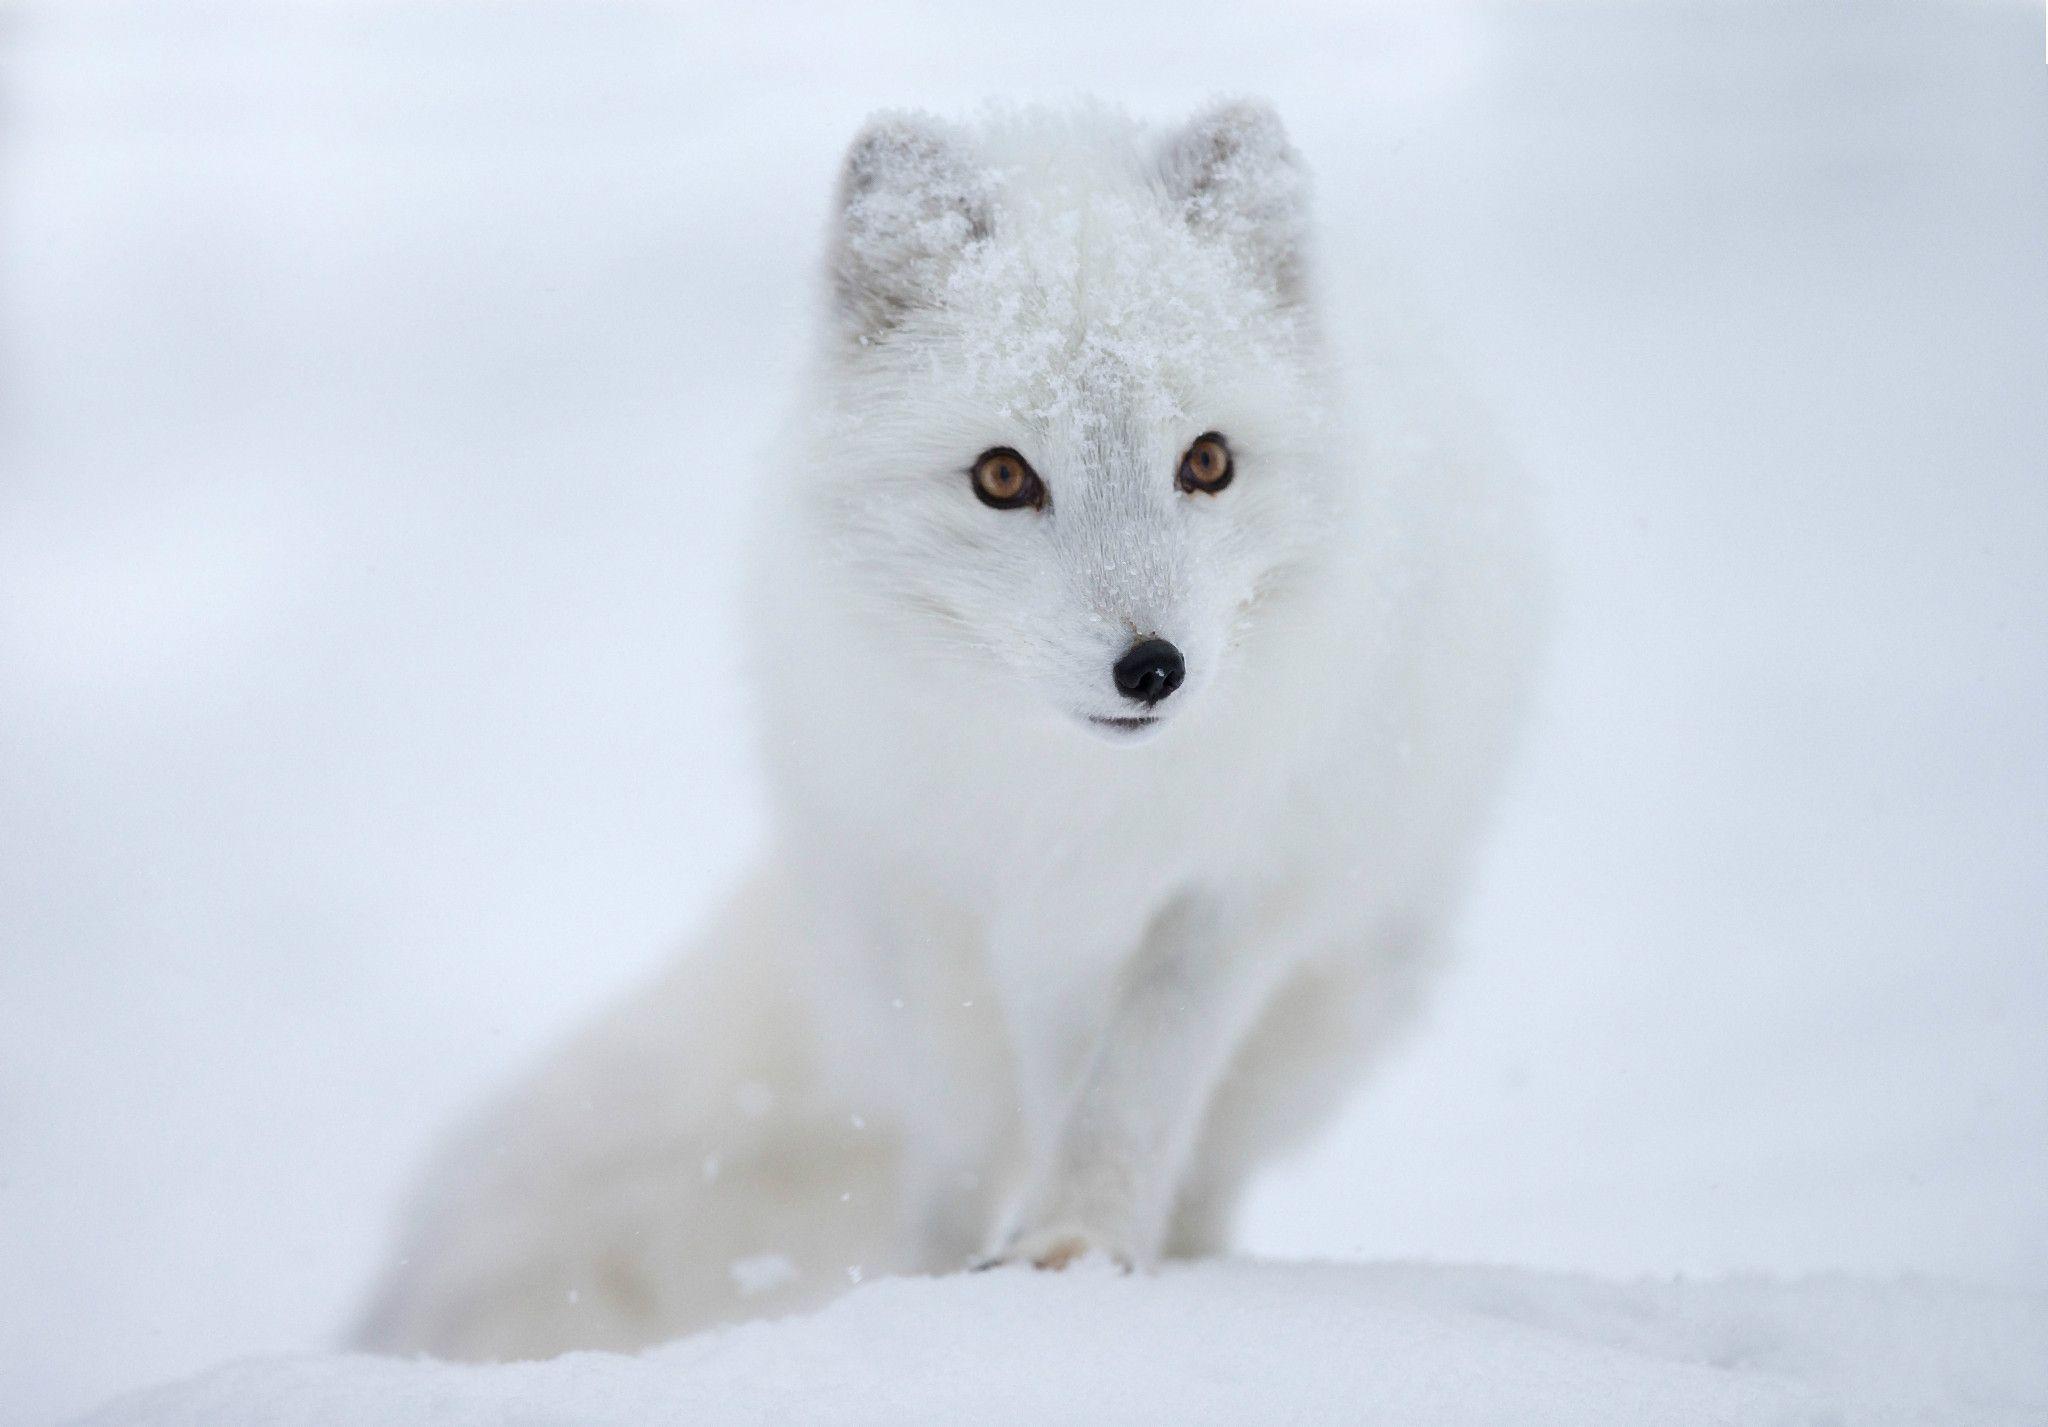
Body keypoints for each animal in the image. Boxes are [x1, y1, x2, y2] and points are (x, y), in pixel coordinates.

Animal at [357, 99, 1539, 1361]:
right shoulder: (968, 907)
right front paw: (980, 1280)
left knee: (1207, 1159)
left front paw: (1078, 1242)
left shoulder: (1233, 894)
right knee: (959, 1131)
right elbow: (1007, 1116)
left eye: (1207, 460)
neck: (1080, 803)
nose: (1152, 668)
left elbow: (1134, 1082)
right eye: (1003, 476)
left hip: (1342, 989)